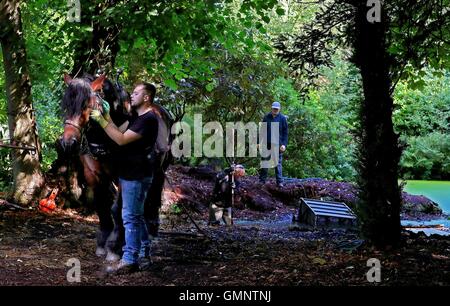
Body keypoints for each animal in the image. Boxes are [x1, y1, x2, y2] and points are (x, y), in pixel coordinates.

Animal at [58, 72, 174, 260]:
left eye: (86, 105)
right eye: (66, 105)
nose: (69, 143)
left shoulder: (123, 175)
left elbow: (117, 208)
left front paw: (114, 245)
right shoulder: (93, 174)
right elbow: (102, 204)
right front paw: (103, 240)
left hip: (160, 169)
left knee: (154, 193)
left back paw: (151, 228)